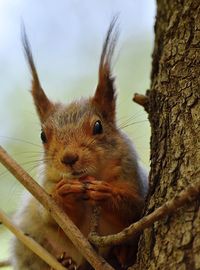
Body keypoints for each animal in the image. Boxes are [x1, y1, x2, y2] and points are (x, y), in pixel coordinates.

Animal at [10, 17, 148, 268]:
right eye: (43, 136)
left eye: (98, 126)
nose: (69, 158)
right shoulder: (46, 189)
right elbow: (52, 218)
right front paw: (65, 195)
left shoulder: (134, 178)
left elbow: (133, 208)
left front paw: (106, 193)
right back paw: (64, 261)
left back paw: (121, 253)